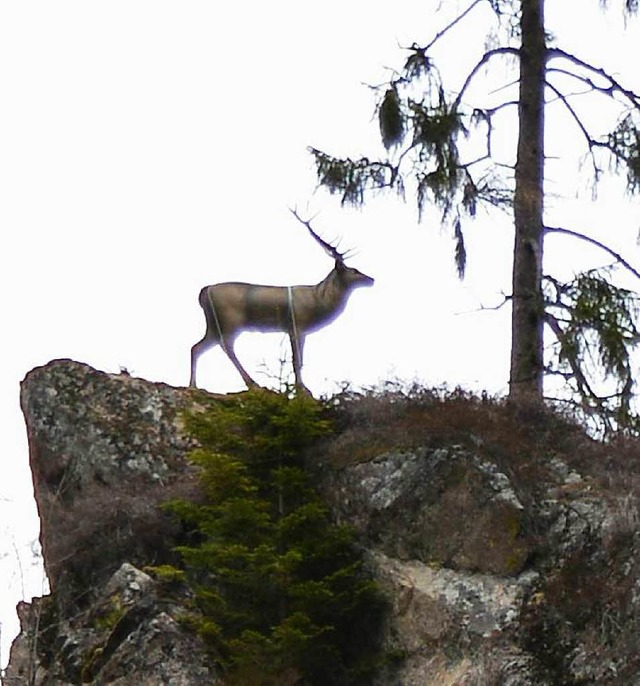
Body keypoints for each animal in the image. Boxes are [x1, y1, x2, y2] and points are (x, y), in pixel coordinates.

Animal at [188, 210, 372, 392]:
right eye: (354, 270)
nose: (371, 279)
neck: (318, 301)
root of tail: (204, 292)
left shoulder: (300, 330)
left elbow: (300, 360)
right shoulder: (296, 325)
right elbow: (296, 360)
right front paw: (302, 389)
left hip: (213, 323)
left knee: (196, 347)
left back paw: (193, 385)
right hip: (230, 319)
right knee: (226, 346)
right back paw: (252, 384)